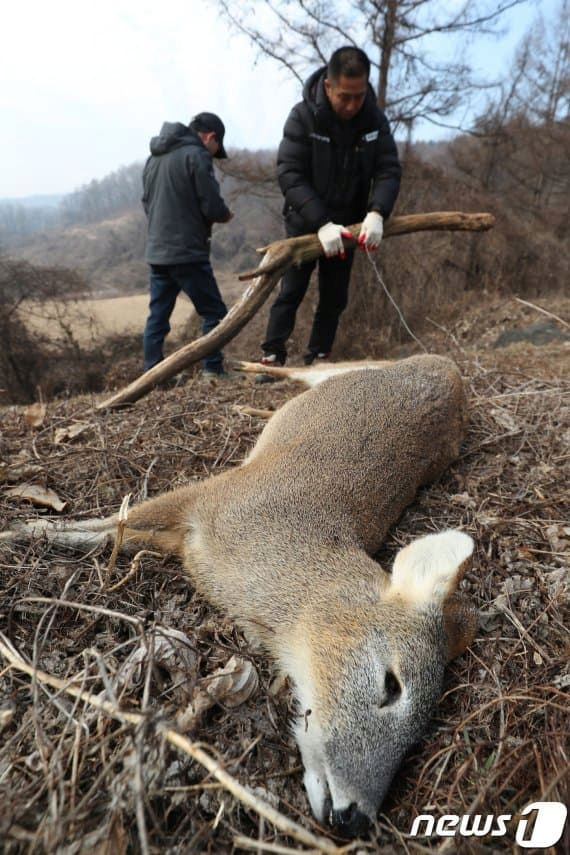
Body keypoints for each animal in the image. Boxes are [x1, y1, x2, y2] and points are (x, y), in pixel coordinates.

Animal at [2, 352, 478, 836]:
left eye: (419, 736)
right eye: (392, 684)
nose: (354, 819)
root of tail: (446, 366)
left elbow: (114, 533)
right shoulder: (209, 496)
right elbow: (106, 525)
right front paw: (21, 529)